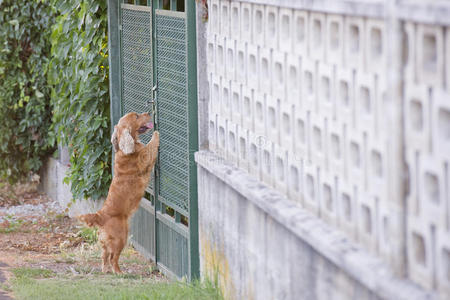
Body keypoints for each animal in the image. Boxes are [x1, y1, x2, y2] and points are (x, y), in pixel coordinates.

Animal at [78, 111, 159, 274]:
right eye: (136, 117)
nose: (148, 112)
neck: (125, 150)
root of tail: (100, 216)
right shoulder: (145, 157)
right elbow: (151, 146)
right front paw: (156, 133)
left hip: (105, 242)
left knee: (104, 256)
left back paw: (106, 270)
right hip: (121, 237)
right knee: (113, 258)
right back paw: (120, 272)